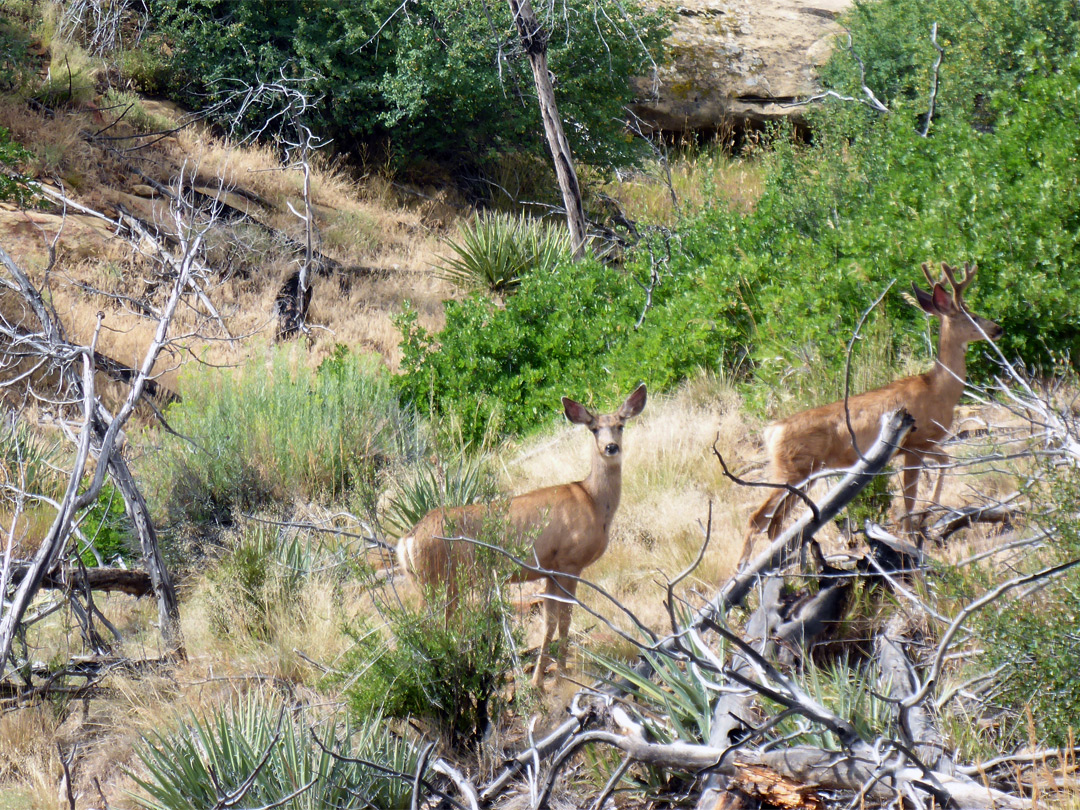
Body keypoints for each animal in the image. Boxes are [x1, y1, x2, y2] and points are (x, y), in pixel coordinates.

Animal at [399, 384, 643, 686]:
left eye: (620, 425)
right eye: (595, 428)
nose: (611, 447)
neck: (594, 502)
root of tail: (407, 540)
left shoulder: (550, 568)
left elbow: (550, 621)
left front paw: (538, 680)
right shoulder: (570, 561)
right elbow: (566, 618)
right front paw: (561, 676)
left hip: (426, 581)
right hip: (441, 580)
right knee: (426, 628)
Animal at [743, 261, 1002, 557]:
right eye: (972, 316)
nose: (998, 328)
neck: (939, 390)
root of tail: (772, 430)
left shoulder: (924, 443)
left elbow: (946, 461)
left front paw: (928, 514)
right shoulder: (915, 443)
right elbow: (909, 498)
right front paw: (912, 534)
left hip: (805, 475)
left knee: (774, 522)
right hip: (791, 470)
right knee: (757, 519)